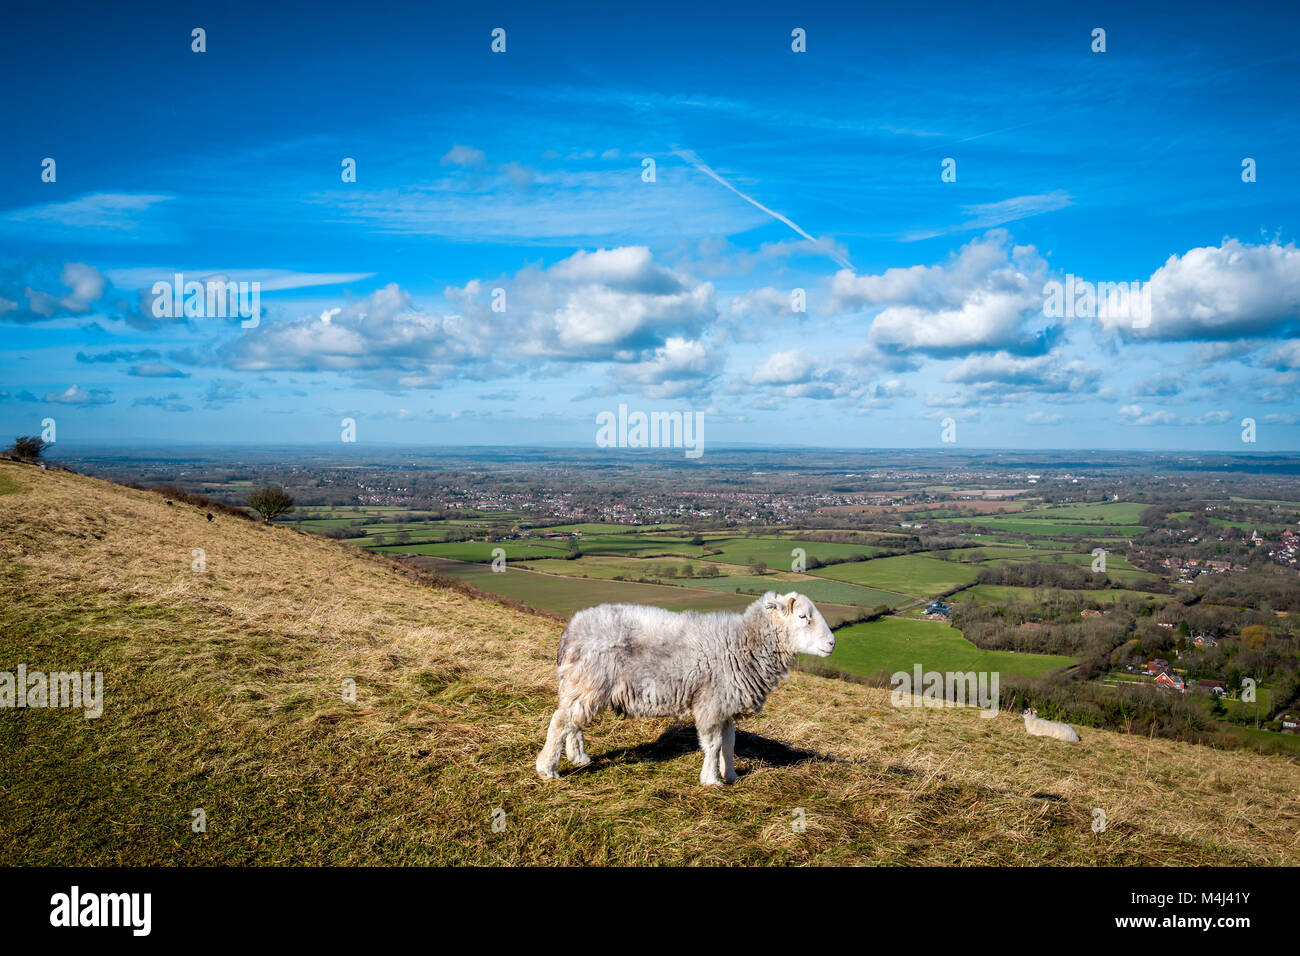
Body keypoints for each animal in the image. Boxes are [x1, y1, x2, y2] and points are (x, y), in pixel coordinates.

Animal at [535, 590, 832, 785]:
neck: (743, 643)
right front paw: (711, 780)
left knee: (574, 722)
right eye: (803, 617)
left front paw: (731, 775)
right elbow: (713, 745)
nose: (832, 644)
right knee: (561, 721)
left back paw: (579, 757)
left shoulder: (725, 704)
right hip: (589, 680)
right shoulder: (711, 704)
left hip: (584, 684)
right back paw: (547, 769)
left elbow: (729, 743)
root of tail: (572, 627)